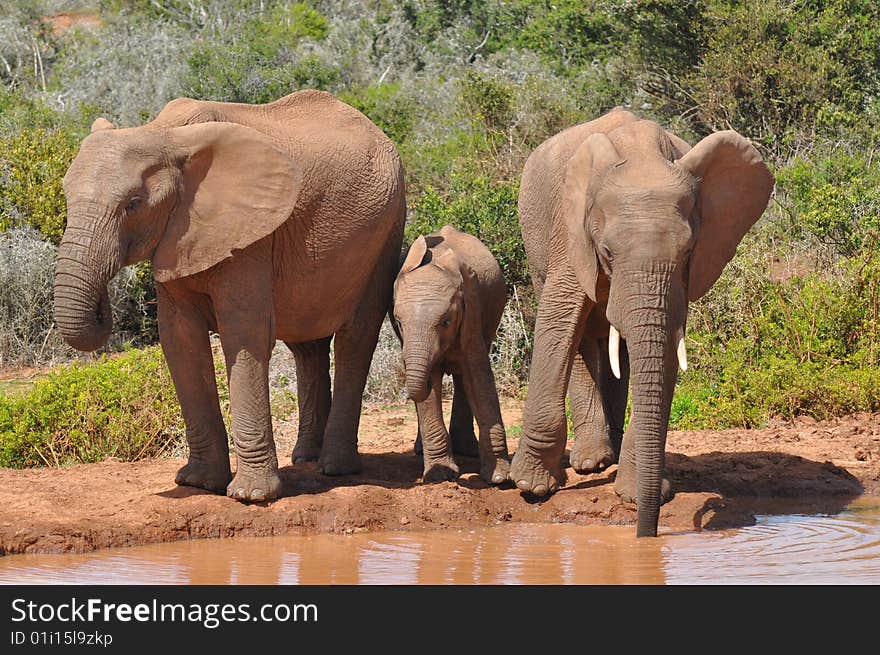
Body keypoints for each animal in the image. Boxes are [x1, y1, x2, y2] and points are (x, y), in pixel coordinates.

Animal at [56, 91, 408, 502]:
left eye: (133, 203)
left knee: (356, 336)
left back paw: (335, 468)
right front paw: (198, 483)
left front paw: (251, 496)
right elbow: (180, 340)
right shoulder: (179, 235)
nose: (104, 307)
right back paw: (305, 458)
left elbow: (244, 333)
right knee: (307, 346)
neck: (164, 134)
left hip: (388, 228)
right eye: (65, 197)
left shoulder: (251, 235)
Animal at [390, 227, 508, 486]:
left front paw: (499, 477)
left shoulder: (472, 309)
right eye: (399, 323)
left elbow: (479, 377)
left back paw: (467, 450)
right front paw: (440, 475)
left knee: (464, 378)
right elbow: (430, 388)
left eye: (446, 322)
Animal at [508, 107, 768, 540]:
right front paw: (531, 487)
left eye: (688, 252)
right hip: (536, 244)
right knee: (581, 337)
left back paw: (606, 454)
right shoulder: (571, 233)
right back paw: (591, 462)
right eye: (608, 251)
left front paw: (638, 493)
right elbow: (559, 319)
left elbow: (665, 348)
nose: (646, 534)